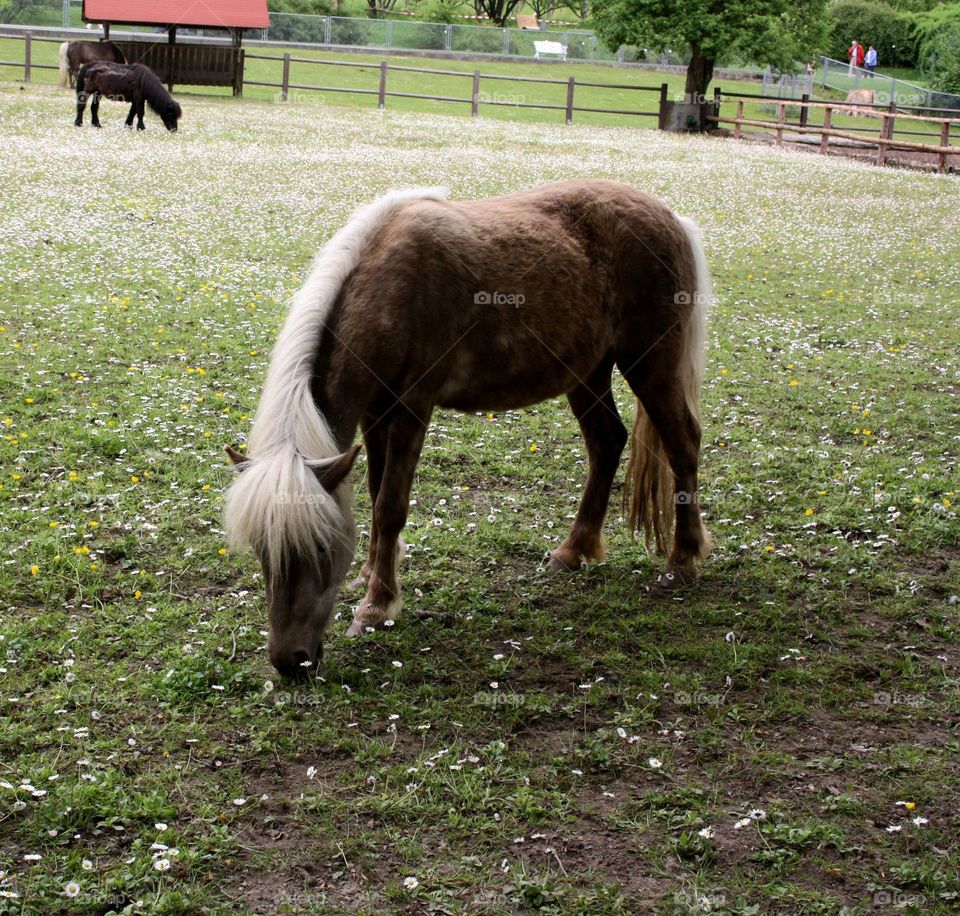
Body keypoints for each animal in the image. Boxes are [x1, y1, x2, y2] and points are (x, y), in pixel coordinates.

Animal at [223, 180, 713, 678]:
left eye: (322, 549)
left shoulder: (412, 407)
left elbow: (390, 506)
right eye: (262, 551)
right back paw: (573, 550)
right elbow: (377, 492)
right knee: (607, 442)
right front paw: (373, 572)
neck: (389, 285)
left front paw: (376, 606)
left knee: (683, 445)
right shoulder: (376, 413)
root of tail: (672, 219)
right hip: (587, 372)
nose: (289, 661)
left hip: (651, 365)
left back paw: (682, 560)